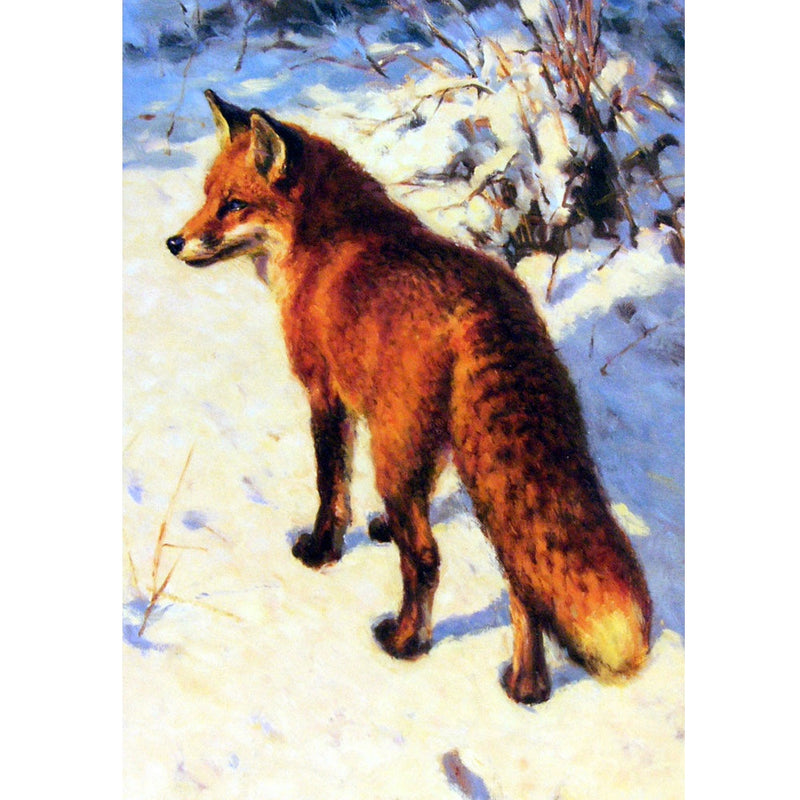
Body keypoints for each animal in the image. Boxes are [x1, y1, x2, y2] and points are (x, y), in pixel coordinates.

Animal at [166, 90, 652, 704]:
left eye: (233, 205)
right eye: (207, 196)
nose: (174, 242)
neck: (324, 239)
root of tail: (484, 307)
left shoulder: (326, 394)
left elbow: (331, 487)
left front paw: (322, 551)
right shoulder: (421, 433)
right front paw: (377, 528)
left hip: (395, 451)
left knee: (426, 558)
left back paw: (406, 642)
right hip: (472, 463)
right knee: (521, 576)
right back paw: (527, 687)